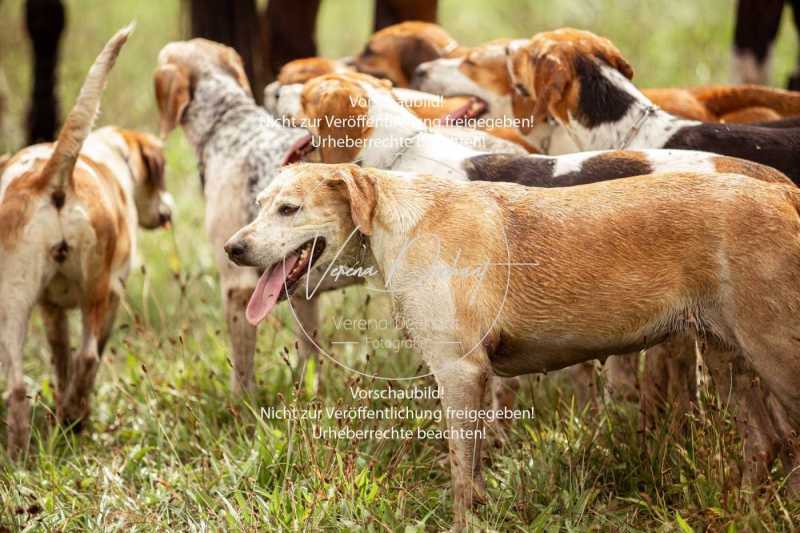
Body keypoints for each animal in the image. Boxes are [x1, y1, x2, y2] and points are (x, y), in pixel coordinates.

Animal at [0, 25, 173, 456]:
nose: (169, 211)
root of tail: (53, 178)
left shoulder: (50, 309)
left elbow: (60, 358)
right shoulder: (112, 294)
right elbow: (82, 359)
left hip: (13, 300)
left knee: (16, 384)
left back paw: (21, 450)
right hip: (97, 290)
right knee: (90, 357)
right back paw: (74, 417)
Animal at [227, 162, 800, 528]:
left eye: (289, 209)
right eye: (258, 205)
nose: (233, 248)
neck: (395, 222)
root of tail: (783, 193)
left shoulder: (460, 372)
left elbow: (461, 474)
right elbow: (475, 472)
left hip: (777, 355)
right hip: (728, 356)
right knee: (767, 441)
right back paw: (749, 515)